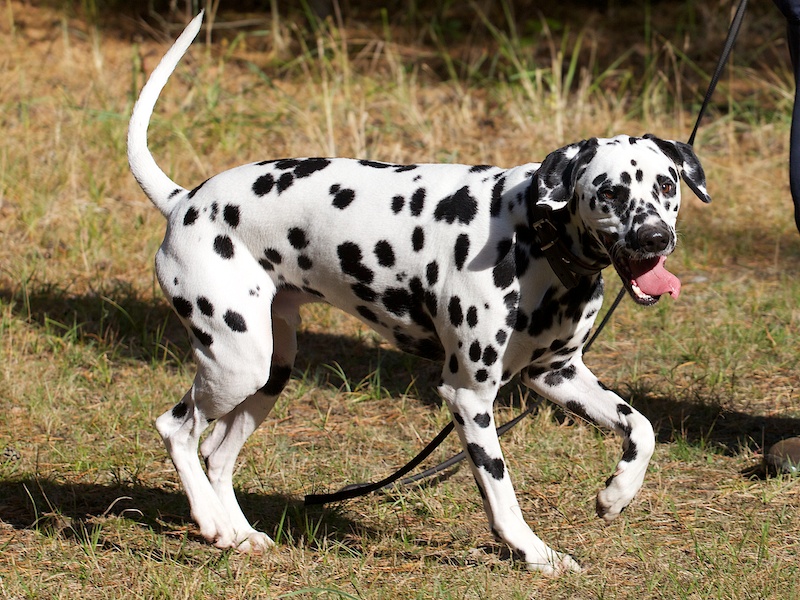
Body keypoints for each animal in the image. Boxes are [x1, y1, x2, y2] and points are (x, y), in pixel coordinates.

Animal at [127, 12, 710, 575]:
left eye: (665, 184)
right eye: (609, 191)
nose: (655, 238)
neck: (534, 237)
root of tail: (184, 200)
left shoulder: (558, 374)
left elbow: (643, 427)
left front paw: (616, 495)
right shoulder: (469, 397)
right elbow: (502, 496)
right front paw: (534, 554)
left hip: (271, 368)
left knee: (217, 453)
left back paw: (239, 534)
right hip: (237, 364)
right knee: (177, 430)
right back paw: (210, 523)